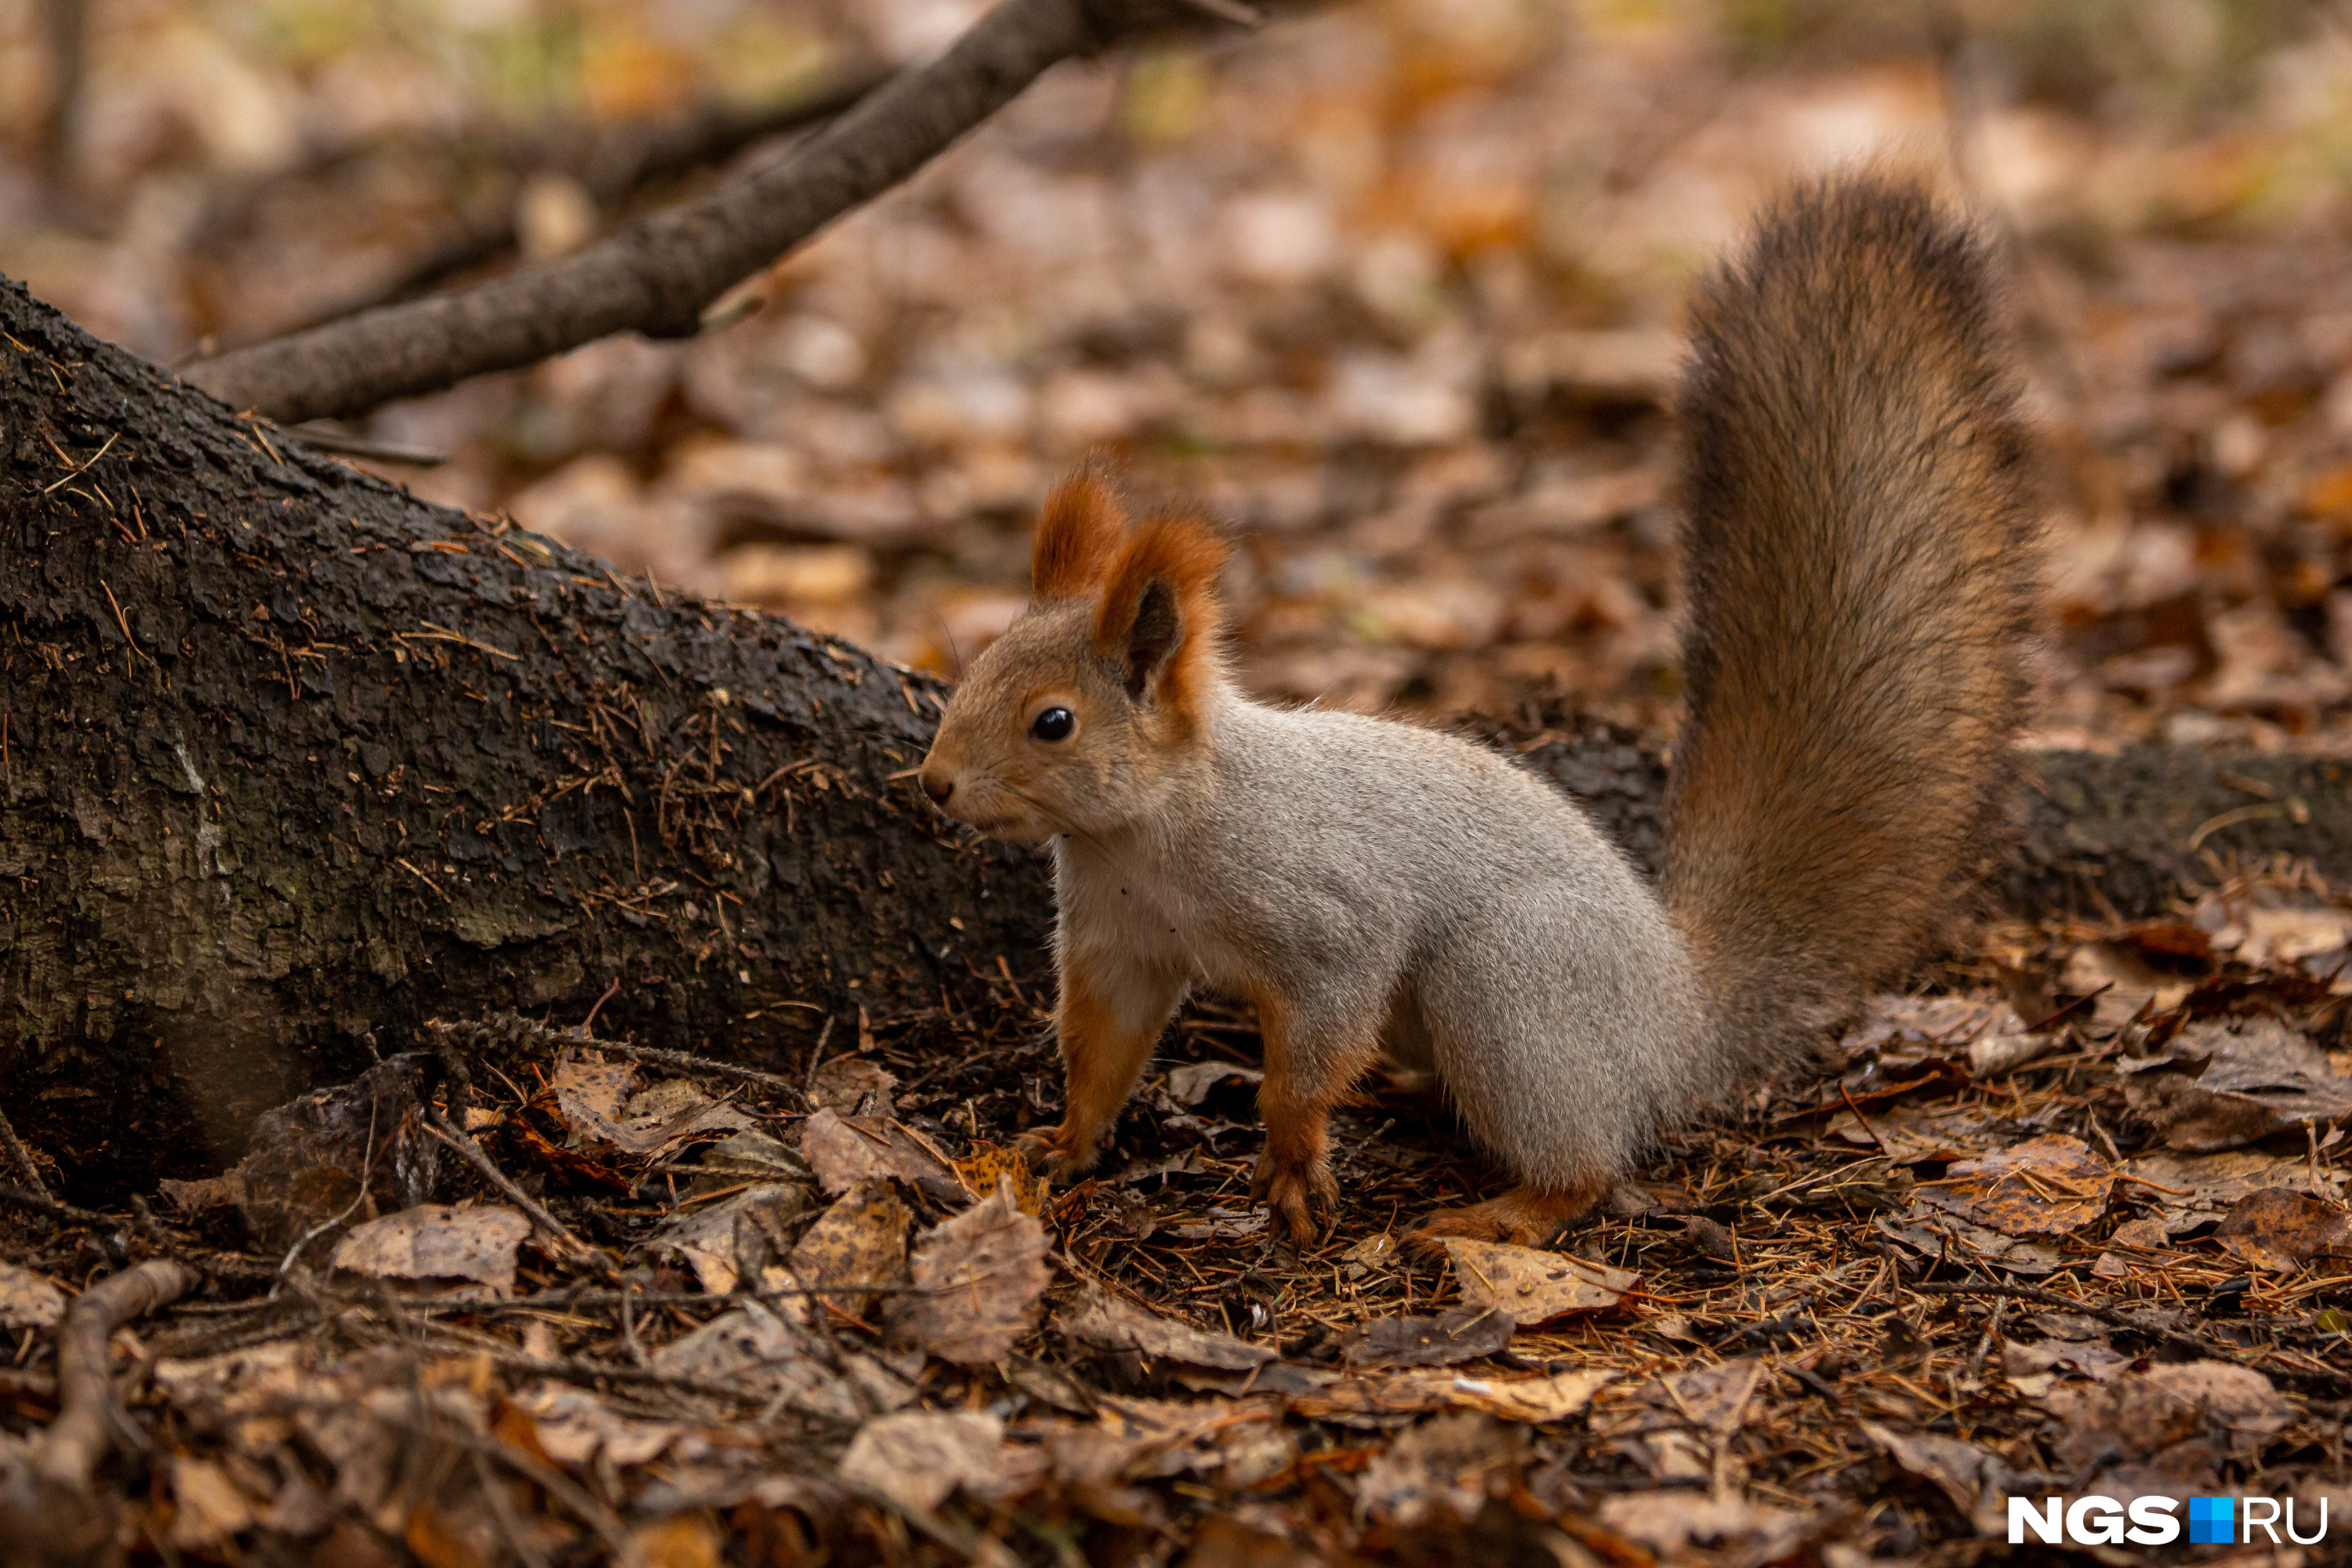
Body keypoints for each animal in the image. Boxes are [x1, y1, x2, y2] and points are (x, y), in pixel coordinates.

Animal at [913, 175, 2042, 1250]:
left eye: (1052, 722)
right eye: (973, 670)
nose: (934, 783)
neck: (1151, 833)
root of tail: (1681, 1019)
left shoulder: (1329, 920)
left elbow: (1313, 1042)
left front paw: (1291, 1159)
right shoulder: (1118, 938)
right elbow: (1102, 1046)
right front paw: (1064, 1143)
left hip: (1509, 984)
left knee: (1584, 1163)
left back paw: (1502, 1214)